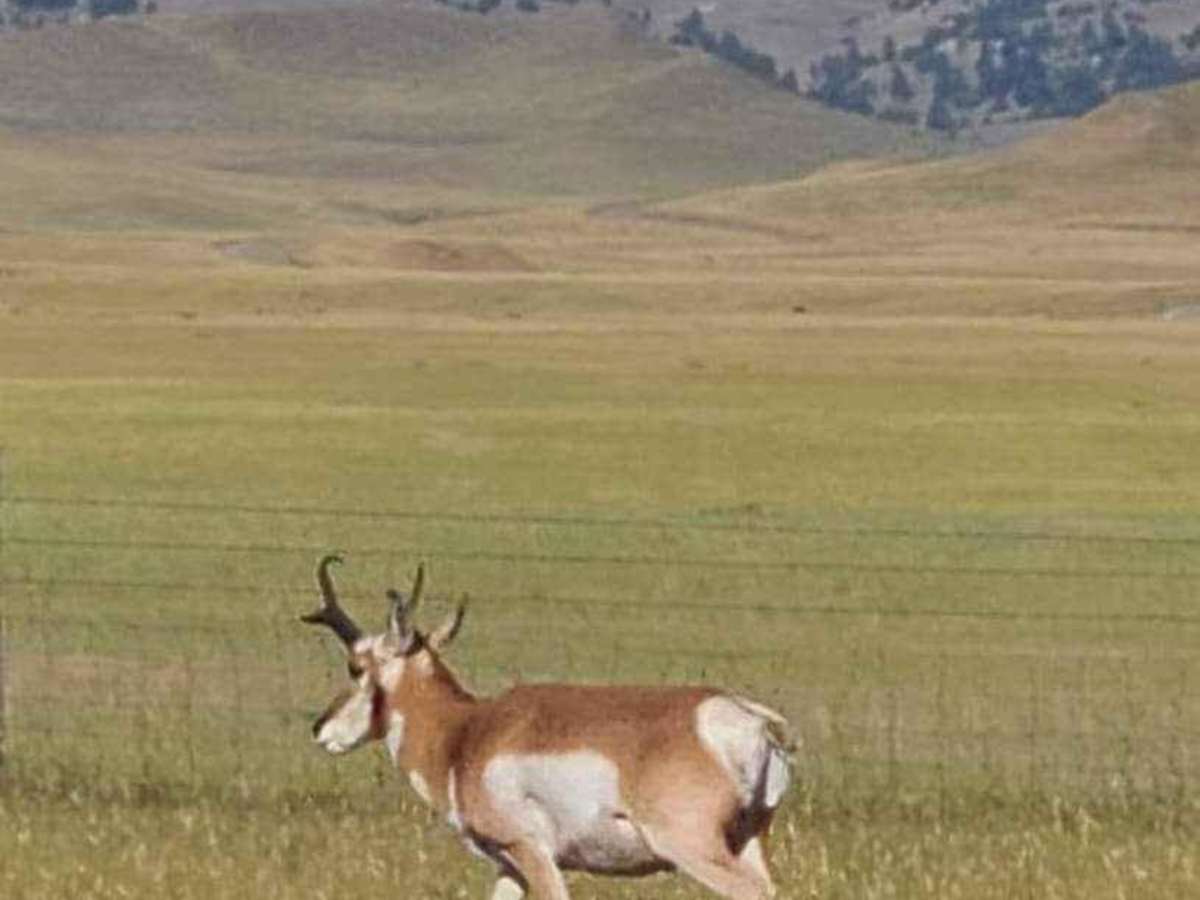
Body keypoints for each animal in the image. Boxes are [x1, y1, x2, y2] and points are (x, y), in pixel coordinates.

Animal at [301, 554, 794, 900]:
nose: (320, 729)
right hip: (747, 842)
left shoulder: (531, 851)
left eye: (355, 667)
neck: (464, 733)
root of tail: (737, 714)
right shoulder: (506, 865)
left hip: (692, 848)